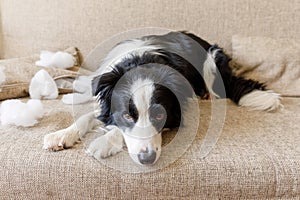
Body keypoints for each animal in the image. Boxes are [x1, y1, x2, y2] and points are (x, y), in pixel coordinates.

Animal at [42, 31, 282, 166]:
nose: (146, 159)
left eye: (159, 116)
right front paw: (62, 135)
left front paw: (103, 142)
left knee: (217, 94)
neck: (140, 61)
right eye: (127, 115)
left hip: (213, 59)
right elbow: (90, 116)